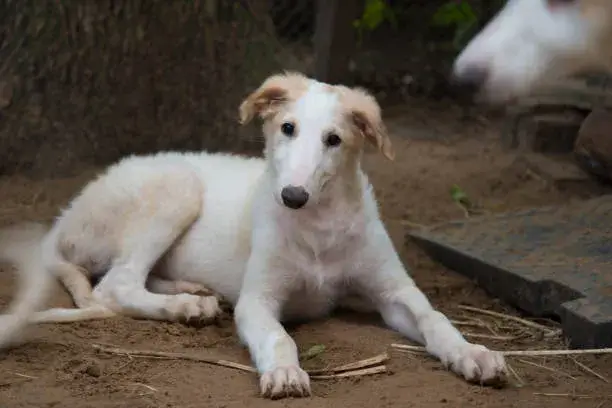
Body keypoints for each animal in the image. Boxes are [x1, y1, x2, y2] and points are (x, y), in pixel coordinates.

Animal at [1, 72, 506, 398]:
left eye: (334, 140)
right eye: (287, 128)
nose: (292, 196)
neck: (319, 228)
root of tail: (64, 217)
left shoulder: (393, 290)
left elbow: (434, 318)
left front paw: (473, 354)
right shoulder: (258, 299)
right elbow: (279, 337)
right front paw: (284, 372)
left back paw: (194, 294)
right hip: (176, 187)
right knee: (115, 285)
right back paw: (184, 306)